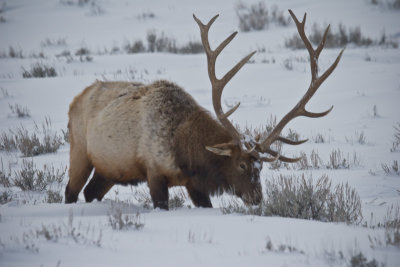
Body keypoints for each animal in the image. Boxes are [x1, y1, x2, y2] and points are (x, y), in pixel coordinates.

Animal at [65, 10, 344, 210]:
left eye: (261, 167)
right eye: (241, 165)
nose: (256, 199)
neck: (187, 154)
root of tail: (75, 100)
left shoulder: (194, 185)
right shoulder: (154, 171)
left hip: (109, 168)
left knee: (90, 192)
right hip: (79, 150)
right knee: (71, 191)